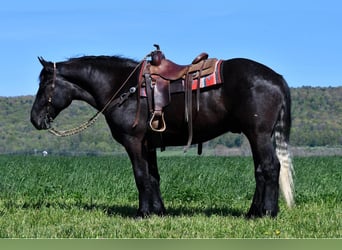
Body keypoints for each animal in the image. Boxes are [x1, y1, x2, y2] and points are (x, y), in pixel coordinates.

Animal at [30, 47, 294, 217]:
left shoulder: (134, 142)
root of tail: (276, 78)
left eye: (45, 84)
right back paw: (253, 212)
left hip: (259, 134)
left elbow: (140, 176)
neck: (124, 88)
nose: (34, 119)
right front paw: (158, 211)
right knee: (260, 170)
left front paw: (143, 213)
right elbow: (153, 177)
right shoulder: (148, 144)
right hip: (256, 135)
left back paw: (267, 213)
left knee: (270, 168)